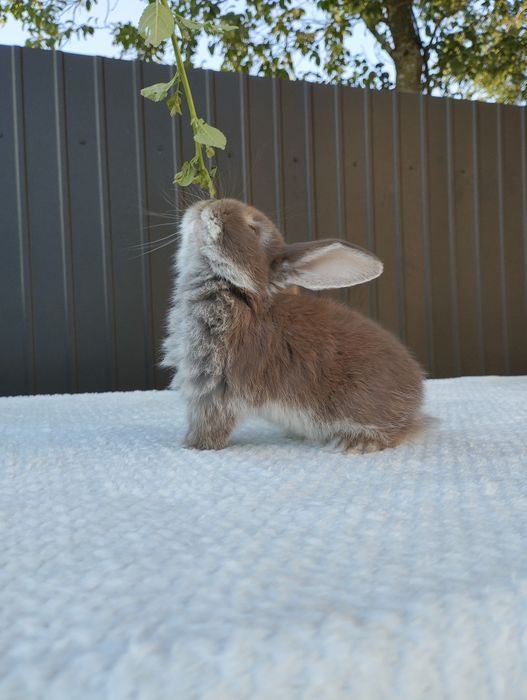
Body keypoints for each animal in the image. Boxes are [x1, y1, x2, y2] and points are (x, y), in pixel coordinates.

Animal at [161, 198, 424, 453]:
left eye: (253, 229)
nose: (208, 206)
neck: (239, 290)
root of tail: (416, 401)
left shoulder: (214, 388)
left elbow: (208, 424)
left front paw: (193, 445)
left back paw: (356, 444)